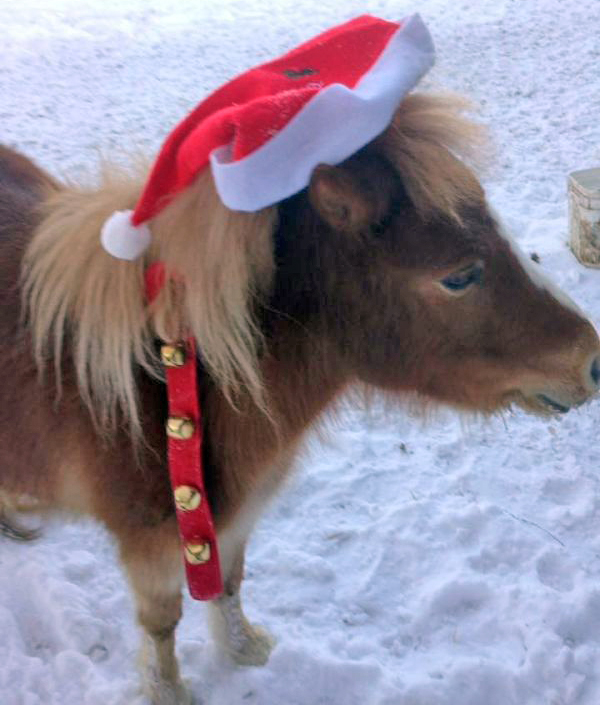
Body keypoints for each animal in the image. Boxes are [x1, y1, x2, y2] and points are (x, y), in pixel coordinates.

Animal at [1, 94, 599, 705]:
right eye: (458, 277)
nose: (592, 361)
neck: (166, 381)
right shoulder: (151, 547)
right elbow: (162, 624)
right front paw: (169, 691)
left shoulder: (232, 518)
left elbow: (230, 583)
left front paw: (245, 650)